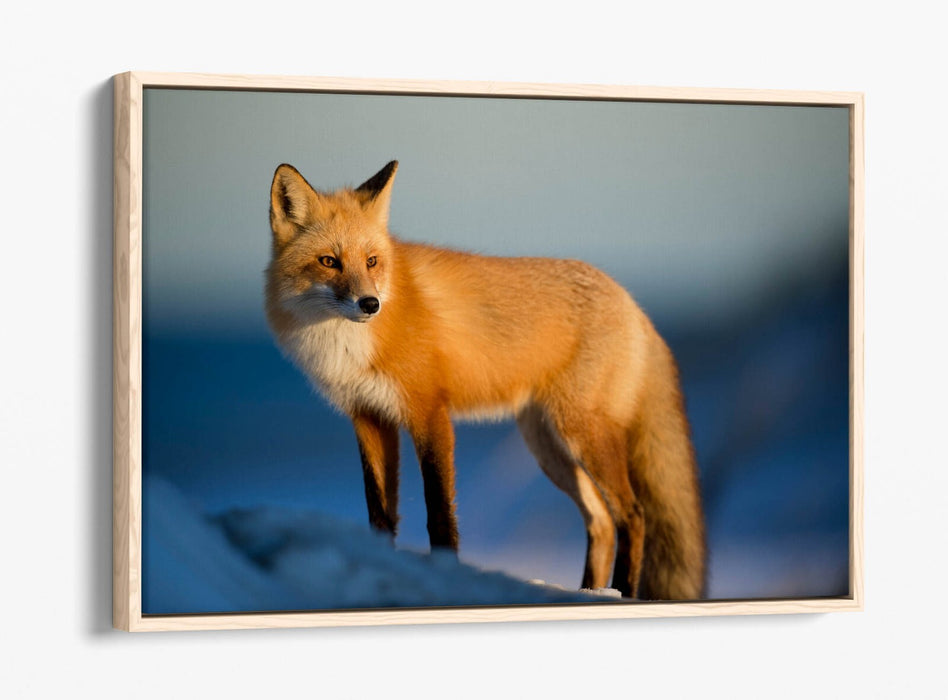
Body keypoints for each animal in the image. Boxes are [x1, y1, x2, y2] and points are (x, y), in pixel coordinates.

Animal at [265, 161, 706, 600]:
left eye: (372, 261)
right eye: (329, 261)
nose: (370, 304)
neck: (349, 345)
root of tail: (633, 304)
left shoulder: (429, 413)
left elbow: (440, 514)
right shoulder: (369, 417)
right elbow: (380, 514)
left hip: (582, 434)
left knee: (632, 515)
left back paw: (623, 593)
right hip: (549, 448)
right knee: (600, 521)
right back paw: (589, 592)